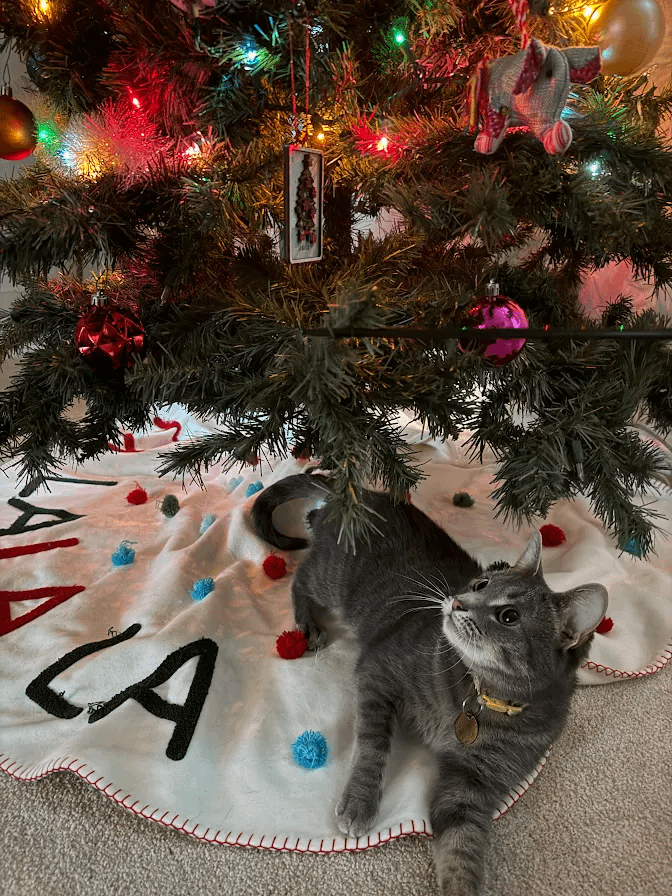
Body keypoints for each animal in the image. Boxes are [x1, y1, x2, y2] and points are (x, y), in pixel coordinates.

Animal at [252, 470, 608, 896]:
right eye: (480, 584)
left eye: (509, 616)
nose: (456, 601)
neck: (481, 698)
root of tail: (359, 494)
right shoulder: (378, 672)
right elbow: (372, 746)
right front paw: (359, 801)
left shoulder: (473, 786)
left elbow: (461, 846)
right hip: (331, 579)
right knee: (300, 580)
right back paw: (308, 623)